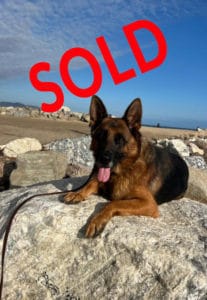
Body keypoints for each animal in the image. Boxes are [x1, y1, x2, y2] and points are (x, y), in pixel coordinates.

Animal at [64, 95, 188, 237]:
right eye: (100, 136)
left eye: (120, 140)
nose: (103, 160)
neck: (123, 170)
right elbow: (90, 183)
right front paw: (77, 193)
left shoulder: (149, 203)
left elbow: (112, 203)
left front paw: (97, 220)